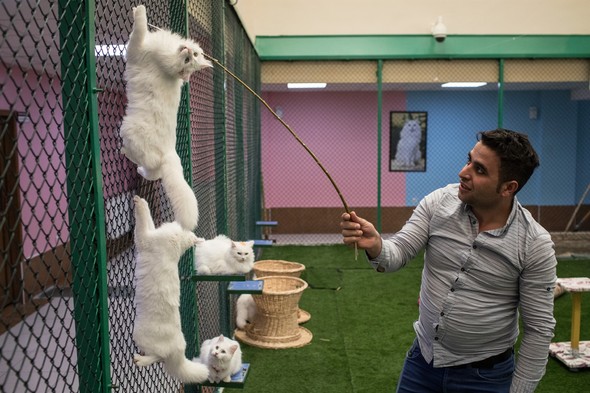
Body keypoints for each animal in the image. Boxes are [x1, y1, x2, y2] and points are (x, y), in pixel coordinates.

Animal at [119, 5, 213, 230]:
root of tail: (170, 152)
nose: (186, 50)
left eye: (189, 59)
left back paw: (124, 152)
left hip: (129, 130)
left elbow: (139, 29)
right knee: (154, 173)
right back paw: (140, 171)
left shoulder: (135, 49)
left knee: (144, 164)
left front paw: (139, 11)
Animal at [132, 196, 210, 382]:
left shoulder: (144, 239)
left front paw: (140, 202)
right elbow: (149, 220)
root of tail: (180, 350)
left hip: (139, 334)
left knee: (159, 356)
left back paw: (140, 360)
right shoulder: (151, 232)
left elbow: (142, 218)